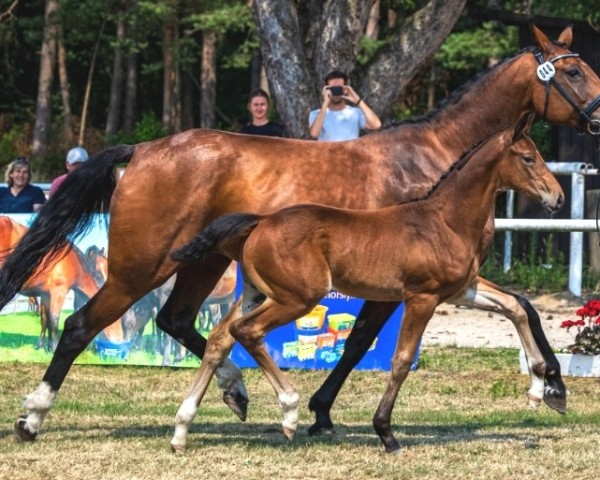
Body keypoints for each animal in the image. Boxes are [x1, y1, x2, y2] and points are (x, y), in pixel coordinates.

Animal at [171, 116, 564, 454]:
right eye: (528, 158)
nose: (557, 197)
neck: (444, 221)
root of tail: (260, 221)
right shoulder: (423, 297)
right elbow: (401, 360)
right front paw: (386, 434)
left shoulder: (459, 291)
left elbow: (514, 307)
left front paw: (539, 387)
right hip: (297, 298)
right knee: (246, 332)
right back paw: (290, 412)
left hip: (258, 292)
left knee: (222, 337)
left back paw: (182, 430)